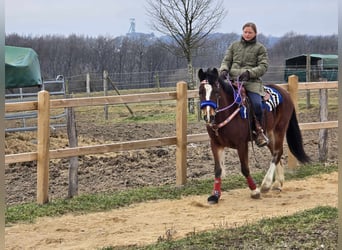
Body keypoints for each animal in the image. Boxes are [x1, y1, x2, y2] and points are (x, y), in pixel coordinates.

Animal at [198, 68, 310, 203]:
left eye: (215, 91)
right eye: (200, 92)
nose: (208, 116)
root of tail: (284, 92)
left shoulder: (241, 145)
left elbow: (245, 168)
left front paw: (254, 190)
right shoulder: (215, 144)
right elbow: (218, 170)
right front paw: (215, 195)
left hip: (280, 129)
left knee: (277, 152)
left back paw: (266, 184)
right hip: (269, 134)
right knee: (276, 152)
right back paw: (277, 183)